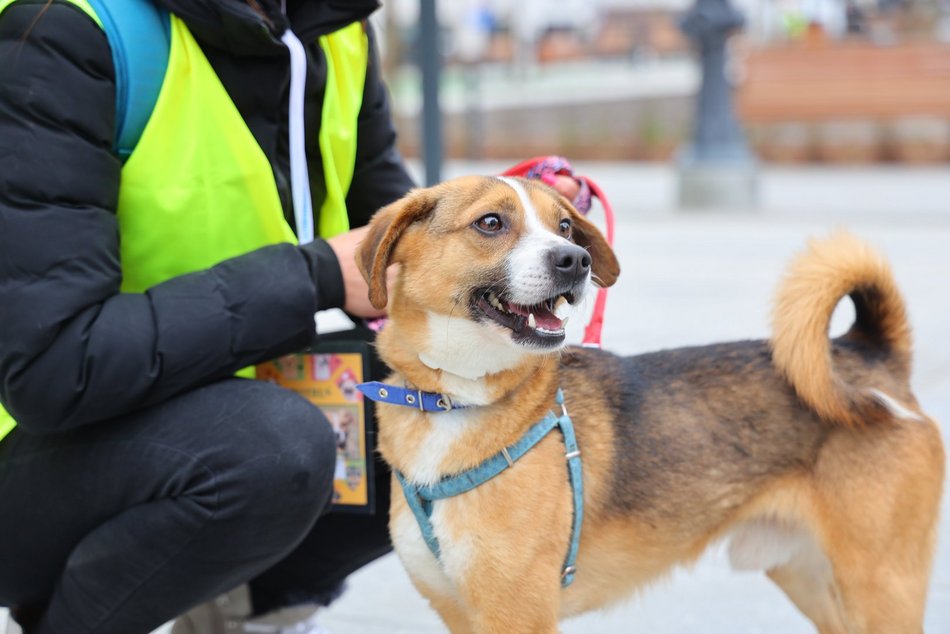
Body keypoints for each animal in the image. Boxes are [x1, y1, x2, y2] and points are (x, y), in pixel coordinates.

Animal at [356, 174, 944, 632]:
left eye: (564, 226)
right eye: (491, 223)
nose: (576, 259)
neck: (453, 400)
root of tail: (867, 352)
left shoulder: (519, 616)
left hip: (880, 587)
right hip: (812, 578)